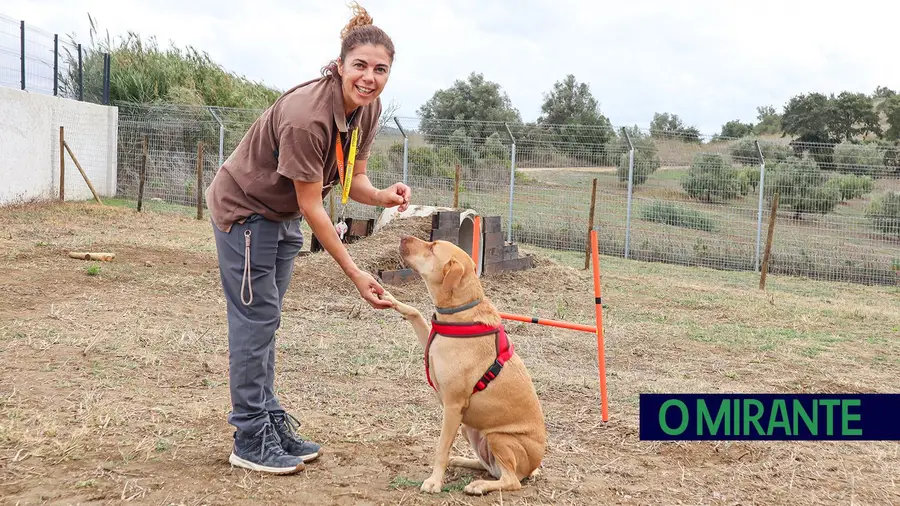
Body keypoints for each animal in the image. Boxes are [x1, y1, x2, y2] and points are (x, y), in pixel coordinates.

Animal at [380, 235, 548, 496]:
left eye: (432, 248)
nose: (403, 237)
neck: (461, 311)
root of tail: (533, 467)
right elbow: (415, 313)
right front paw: (390, 299)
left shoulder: (453, 406)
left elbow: (441, 448)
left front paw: (434, 482)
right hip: (469, 429)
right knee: (488, 466)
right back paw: (461, 461)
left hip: (499, 438)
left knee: (511, 480)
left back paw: (479, 486)